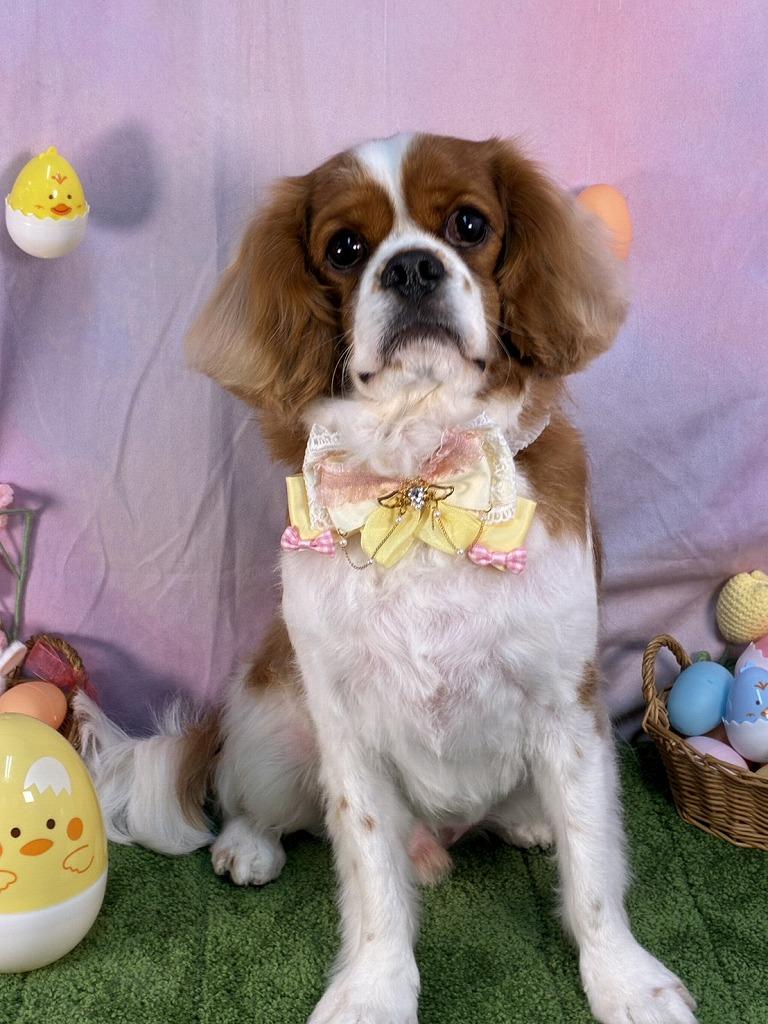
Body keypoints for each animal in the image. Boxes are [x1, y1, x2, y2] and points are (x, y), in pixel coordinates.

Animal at [76, 133, 697, 1024]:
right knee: (250, 795)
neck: (420, 479)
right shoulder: (347, 727)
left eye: (469, 224)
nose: (410, 267)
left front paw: (624, 979)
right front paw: (374, 988)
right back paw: (247, 846)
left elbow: (594, 866)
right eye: (345, 248)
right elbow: (371, 876)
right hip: (273, 726)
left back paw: (524, 822)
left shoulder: (568, 709)